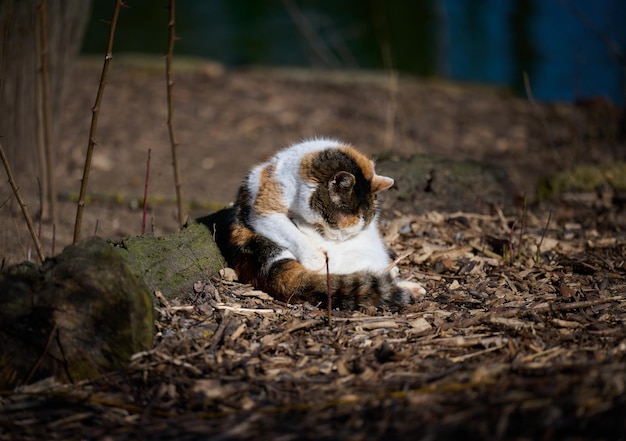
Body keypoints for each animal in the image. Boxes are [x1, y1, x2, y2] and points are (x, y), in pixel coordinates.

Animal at [196, 138, 420, 310]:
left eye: (352, 231)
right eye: (338, 228)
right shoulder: (264, 211)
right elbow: (293, 234)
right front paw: (315, 257)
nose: (341, 240)